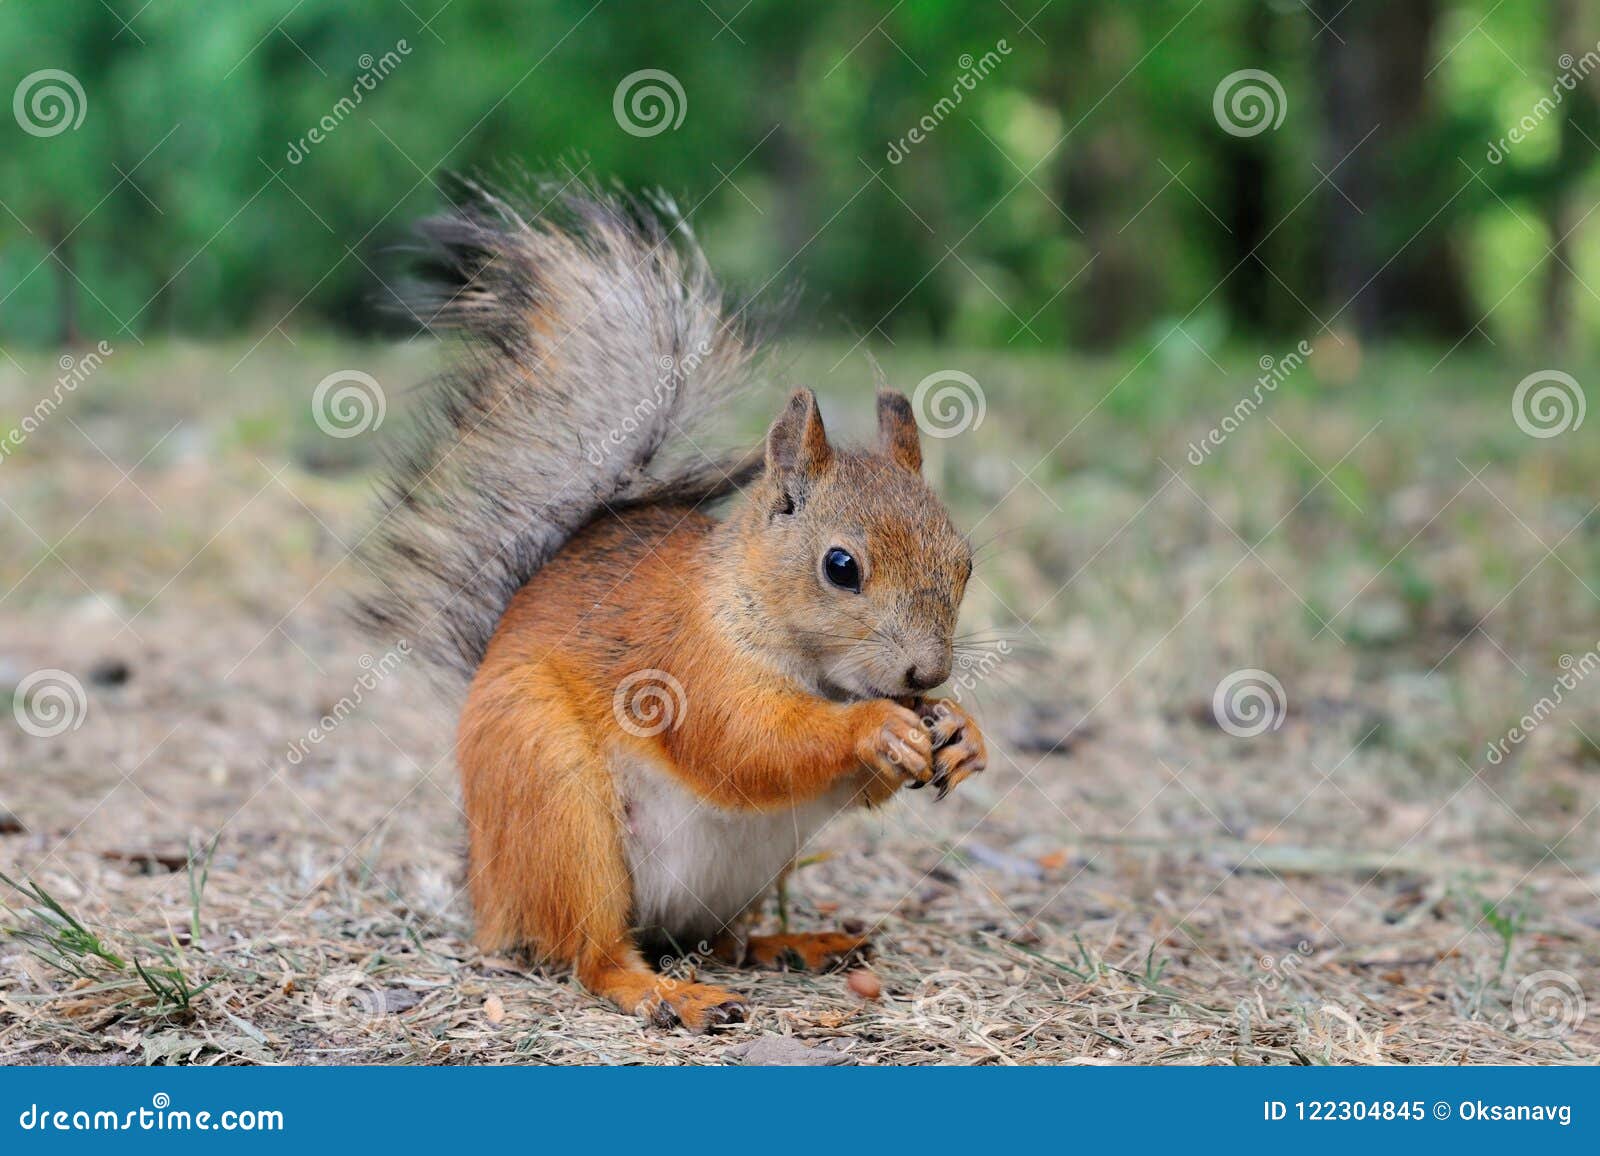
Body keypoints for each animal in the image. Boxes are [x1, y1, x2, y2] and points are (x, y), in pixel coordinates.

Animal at [356, 180, 985, 1024]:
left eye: (965, 561)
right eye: (841, 566)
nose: (926, 675)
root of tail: (487, 885)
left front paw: (962, 733)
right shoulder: (684, 664)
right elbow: (749, 744)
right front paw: (876, 726)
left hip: (741, 876)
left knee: (716, 938)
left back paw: (793, 945)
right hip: (557, 803)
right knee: (592, 953)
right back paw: (665, 992)